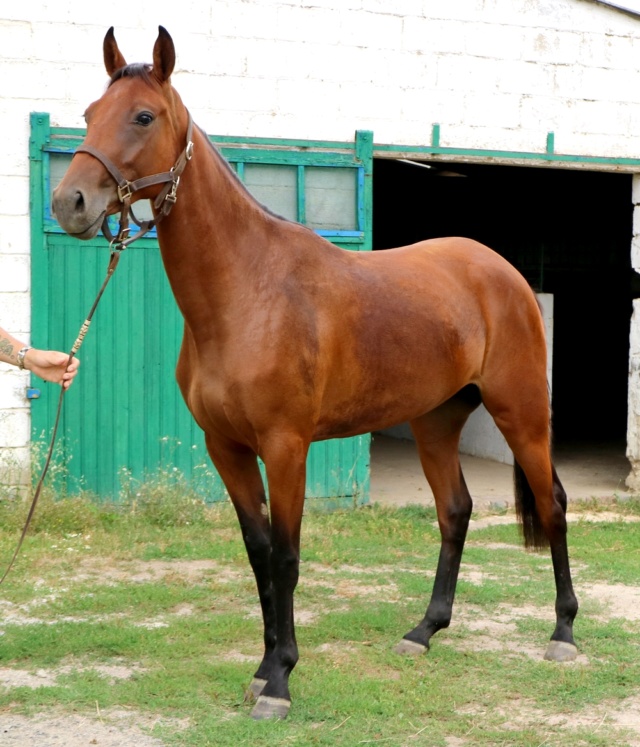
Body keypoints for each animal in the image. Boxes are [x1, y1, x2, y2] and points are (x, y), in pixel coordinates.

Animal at [52, 26, 576, 720]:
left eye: (143, 116)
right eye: (88, 114)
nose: (69, 203)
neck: (248, 291)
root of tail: (502, 272)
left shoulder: (285, 446)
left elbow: (286, 556)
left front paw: (279, 681)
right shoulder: (226, 448)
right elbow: (257, 554)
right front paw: (263, 667)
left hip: (522, 413)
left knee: (552, 504)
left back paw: (564, 633)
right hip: (435, 421)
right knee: (455, 510)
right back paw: (424, 631)